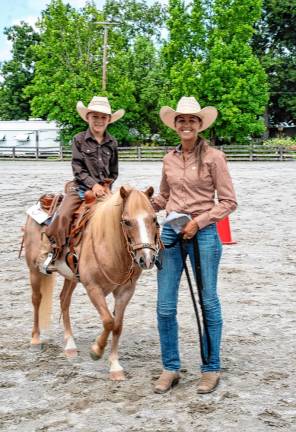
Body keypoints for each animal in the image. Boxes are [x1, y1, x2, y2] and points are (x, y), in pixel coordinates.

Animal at [24, 186, 161, 378]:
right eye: (126, 222)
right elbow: (108, 321)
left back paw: (70, 345)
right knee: (37, 300)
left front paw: (115, 367)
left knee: (64, 300)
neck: (110, 246)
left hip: (71, 278)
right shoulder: (93, 289)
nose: (147, 259)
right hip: (34, 271)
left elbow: (117, 325)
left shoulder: (126, 291)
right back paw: (35, 340)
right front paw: (96, 351)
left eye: (154, 218)